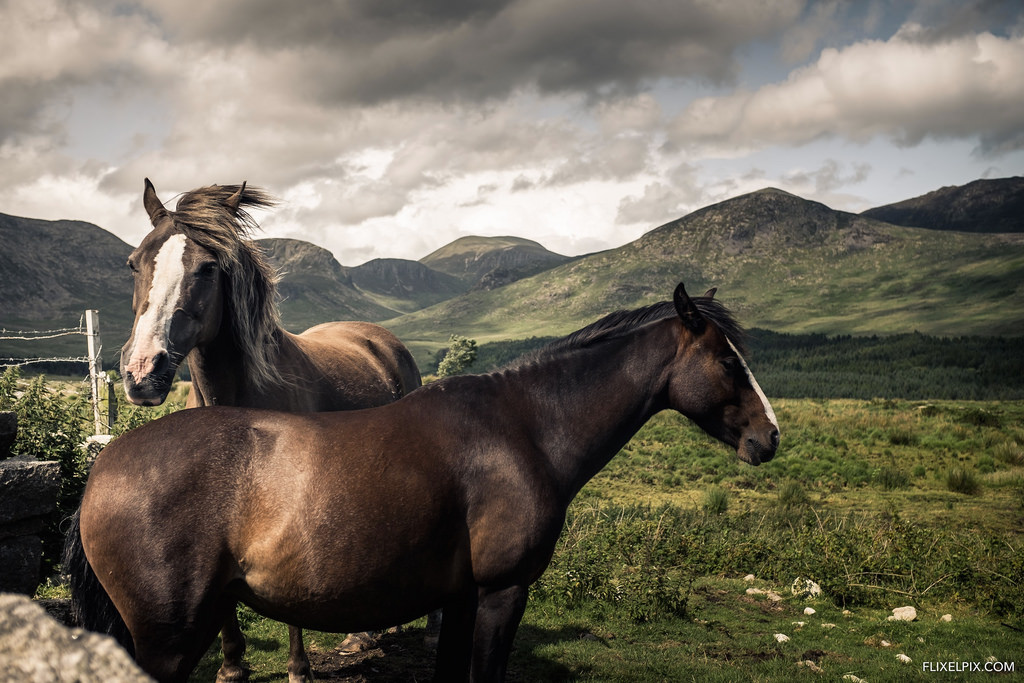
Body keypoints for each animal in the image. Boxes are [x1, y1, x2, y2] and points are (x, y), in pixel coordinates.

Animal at [70, 283, 779, 682]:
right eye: (727, 361)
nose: (769, 437)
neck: (523, 427)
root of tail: (104, 466)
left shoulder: (462, 598)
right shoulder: (501, 592)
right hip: (166, 641)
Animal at [113, 178, 422, 682]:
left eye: (208, 268)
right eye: (134, 262)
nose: (143, 371)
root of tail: (379, 339)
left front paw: (299, 667)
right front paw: (231, 666)